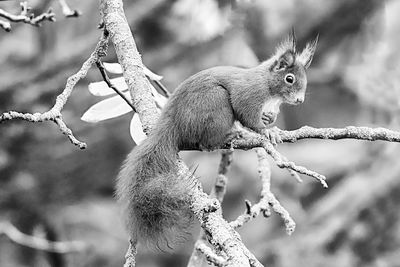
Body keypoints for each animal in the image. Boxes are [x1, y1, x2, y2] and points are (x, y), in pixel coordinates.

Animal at [116, 31, 318, 251]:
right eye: (289, 79)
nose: (300, 100)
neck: (268, 86)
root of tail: (173, 124)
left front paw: (269, 121)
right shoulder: (249, 94)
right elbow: (247, 115)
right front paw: (268, 131)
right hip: (215, 102)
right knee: (206, 143)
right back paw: (230, 136)